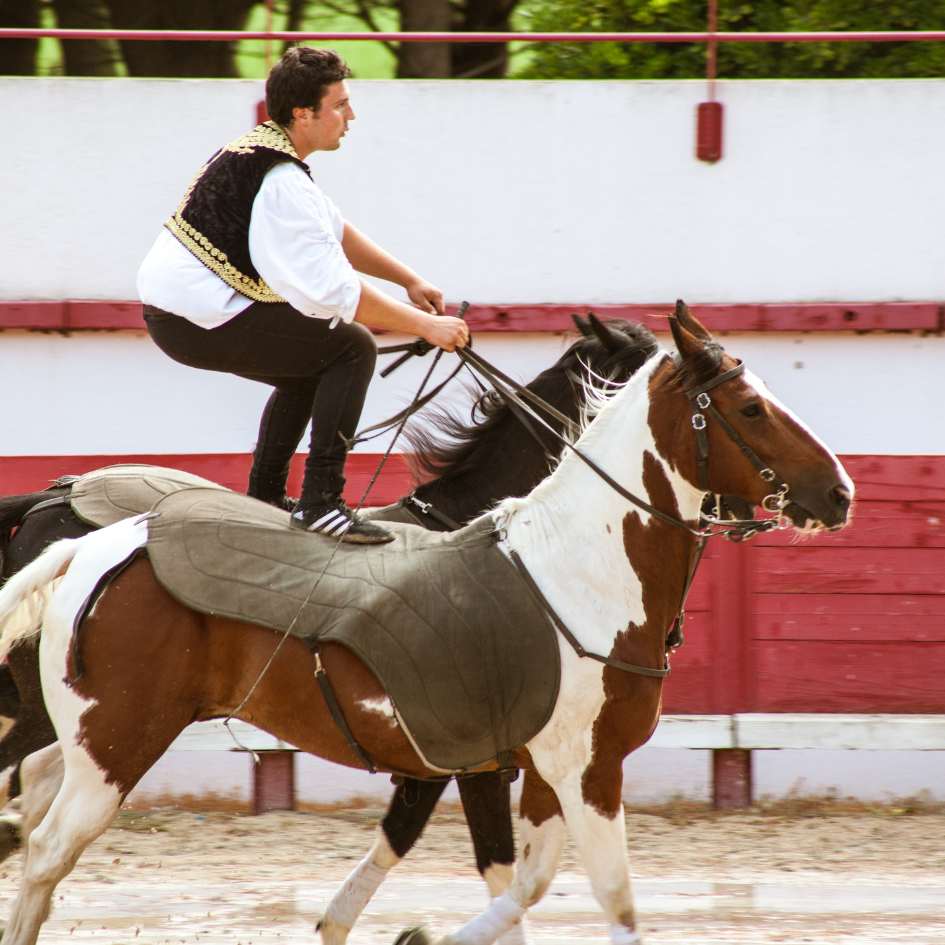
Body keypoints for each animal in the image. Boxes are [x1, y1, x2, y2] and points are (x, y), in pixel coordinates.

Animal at [0, 304, 856, 944]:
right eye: (750, 407)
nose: (840, 490)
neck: (569, 568)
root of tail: (87, 537)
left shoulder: (529, 770)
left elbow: (516, 877)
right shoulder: (576, 768)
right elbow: (600, 897)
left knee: (36, 825)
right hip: (112, 746)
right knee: (43, 849)